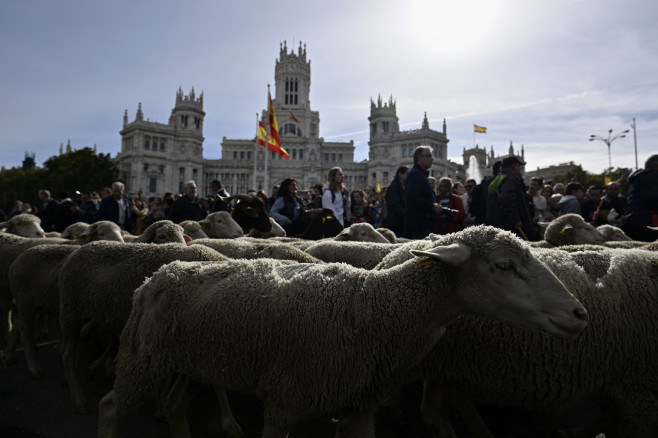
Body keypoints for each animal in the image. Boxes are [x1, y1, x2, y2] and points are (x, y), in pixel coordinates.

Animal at [96, 226, 584, 438]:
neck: (374, 306)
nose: (580, 314)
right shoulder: (283, 402)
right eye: (503, 266)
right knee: (110, 407)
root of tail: (161, 273)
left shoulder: (358, 407)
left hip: (191, 363)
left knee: (176, 407)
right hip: (142, 361)